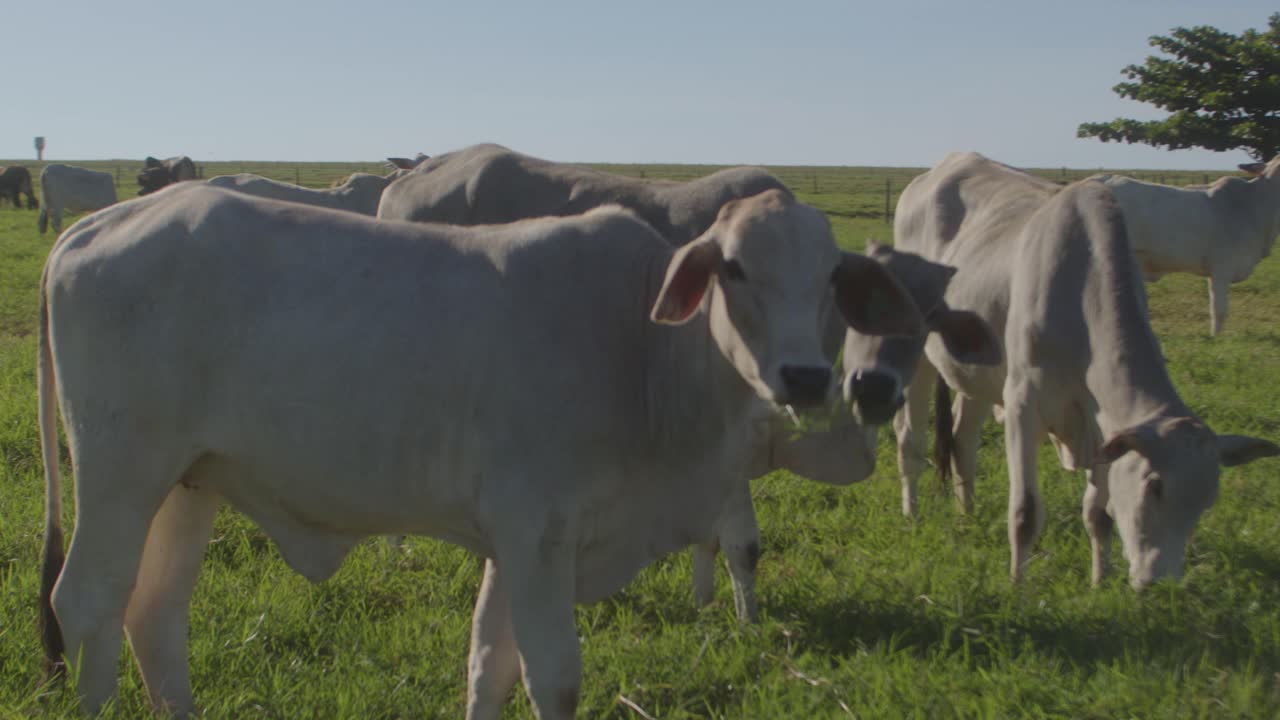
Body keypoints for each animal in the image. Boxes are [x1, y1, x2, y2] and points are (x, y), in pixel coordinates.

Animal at [38, 182, 923, 717]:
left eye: (830, 275)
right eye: (735, 268)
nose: (806, 376)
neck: (639, 349)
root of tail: (96, 224)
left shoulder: (513, 545)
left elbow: (488, 664)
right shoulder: (538, 537)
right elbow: (553, 678)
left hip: (189, 485)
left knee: (153, 614)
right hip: (119, 474)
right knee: (88, 603)